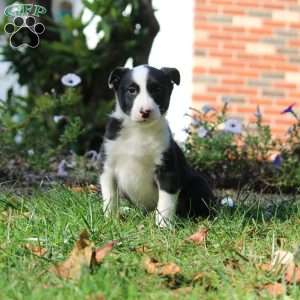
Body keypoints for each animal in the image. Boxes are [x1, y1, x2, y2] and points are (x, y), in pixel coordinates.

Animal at [99, 64, 214, 226]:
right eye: (131, 90)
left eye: (157, 89)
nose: (145, 112)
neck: (140, 130)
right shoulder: (108, 168)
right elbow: (110, 197)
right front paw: (110, 220)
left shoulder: (167, 171)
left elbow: (165, 203)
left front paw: (163, 226)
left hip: (198, 184)